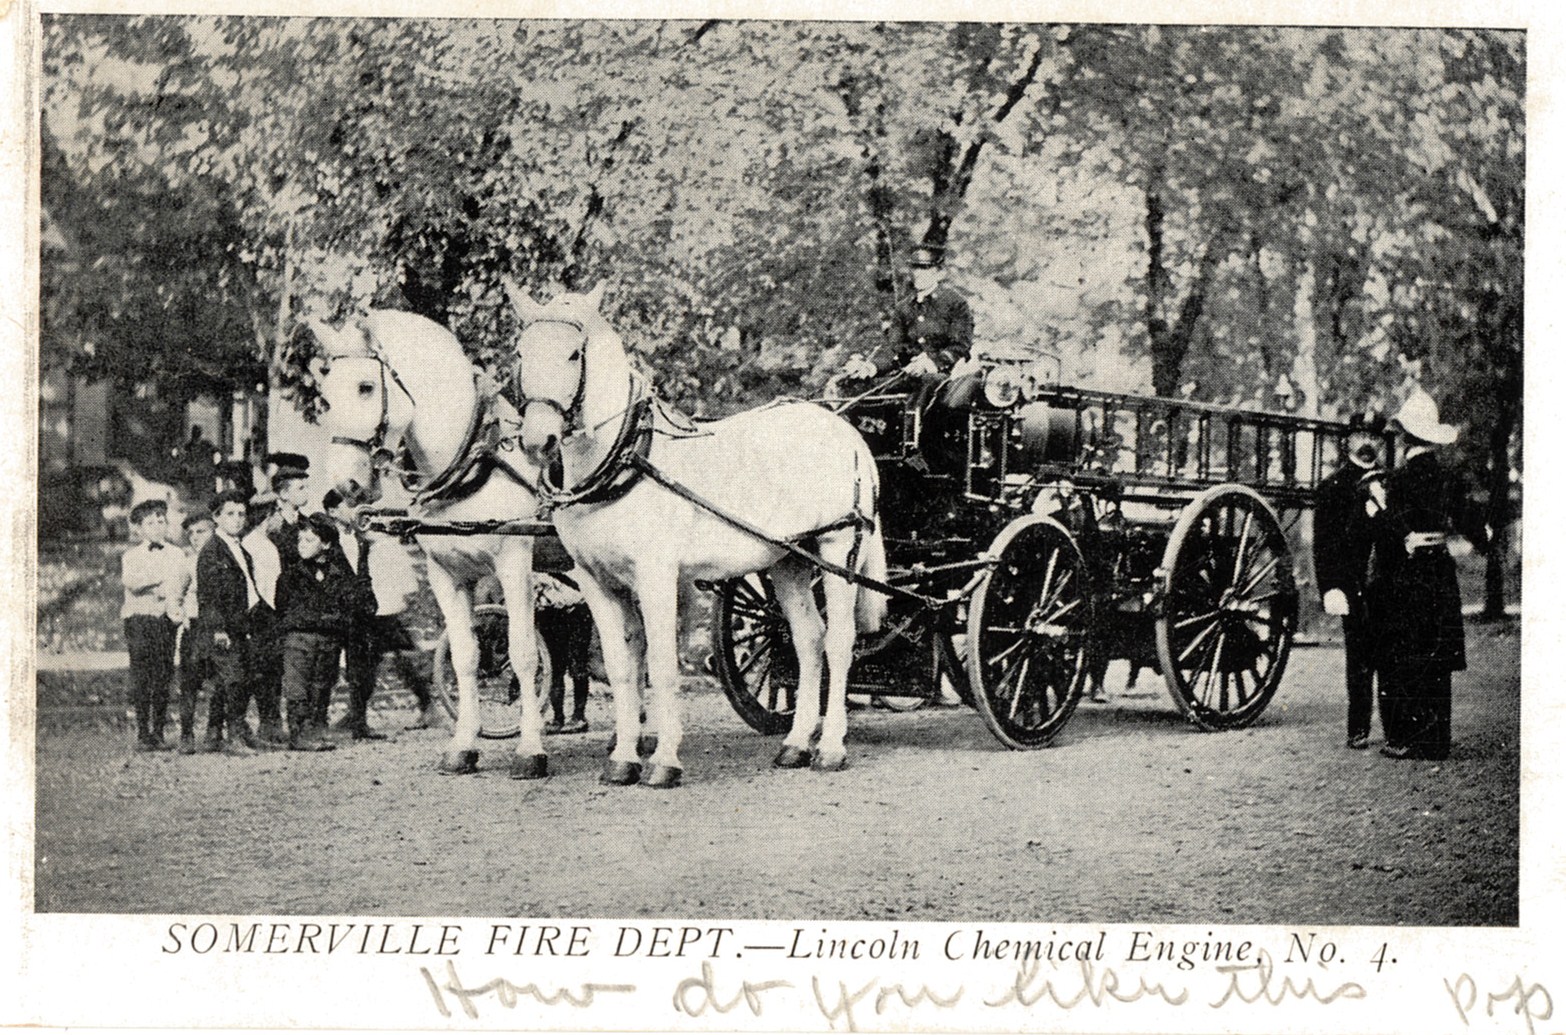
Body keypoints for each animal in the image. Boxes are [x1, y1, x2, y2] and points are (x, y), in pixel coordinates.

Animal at [307, 309, 552, 779]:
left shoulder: (515, 564)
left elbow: (524, 654)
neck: (474, 464)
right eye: (325, 398)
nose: (345, 485)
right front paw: (463, 746)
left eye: (366, 387)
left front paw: (530, 750)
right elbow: (465, 657)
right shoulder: (446, 573)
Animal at [503, 280, 888, 787]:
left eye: (573, 354)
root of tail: (844, 430)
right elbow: (623, 669)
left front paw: (664, 762)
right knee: (808, 639)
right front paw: (623, 760)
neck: (627, 457)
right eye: (521, 352)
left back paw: (830, 750)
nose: (536, 441)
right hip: (789, 559)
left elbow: (663, 667)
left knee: (840, 642)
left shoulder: (657, 576)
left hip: (838, 550)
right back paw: (794, 745)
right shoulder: (596, 581)